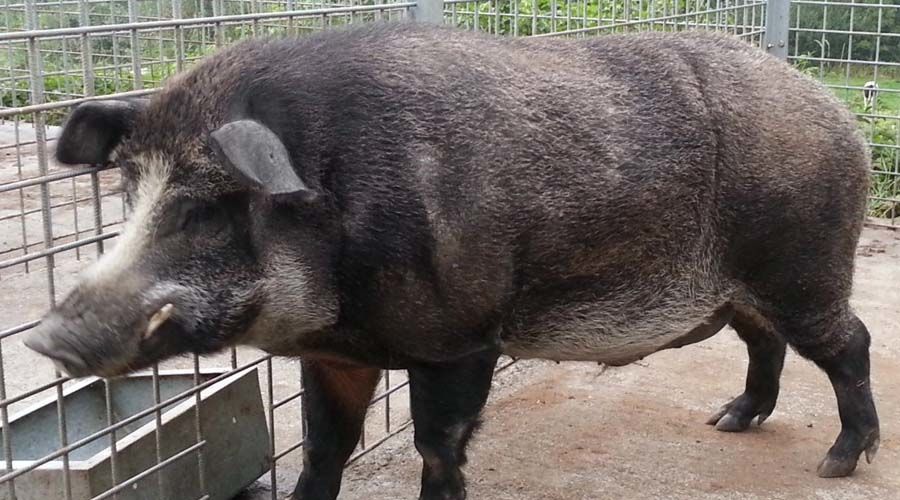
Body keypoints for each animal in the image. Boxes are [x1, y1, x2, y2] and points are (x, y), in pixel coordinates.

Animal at [24, 22, 879, 500]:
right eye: (129, 188)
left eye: (205, 207)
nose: (44, 336)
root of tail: (834, 110)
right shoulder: (334, 354)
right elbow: (324, 449)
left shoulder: (462, 337)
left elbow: (436, 449)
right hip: (744, 290)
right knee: (765, 341)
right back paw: (729, 421)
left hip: (803, 263)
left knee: (850, 343)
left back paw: (839, 464)